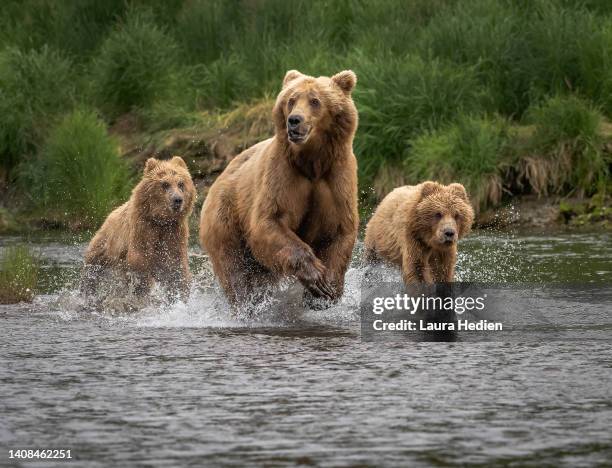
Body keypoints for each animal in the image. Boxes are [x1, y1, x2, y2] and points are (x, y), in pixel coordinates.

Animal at [83, 155, 196, 298]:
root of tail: (109, 215)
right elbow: (139, 259)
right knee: (92, 271)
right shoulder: (143, 228)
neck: (161, 220)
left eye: (181, 184)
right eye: (165, 184)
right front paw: (146, 287)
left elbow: (177, 266)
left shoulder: (174, 232)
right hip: (105, 247)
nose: (177, 200)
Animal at [201, 67, 360, 306]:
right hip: (226, 220)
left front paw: (326, 290)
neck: (312, 162)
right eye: (291, 100)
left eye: (315, 100)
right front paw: (315, 275)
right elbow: (270, 220)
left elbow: (339, 229)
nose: (294, 120)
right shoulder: (283, 175)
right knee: (236, 270)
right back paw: (247, 301)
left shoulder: (337, 177)